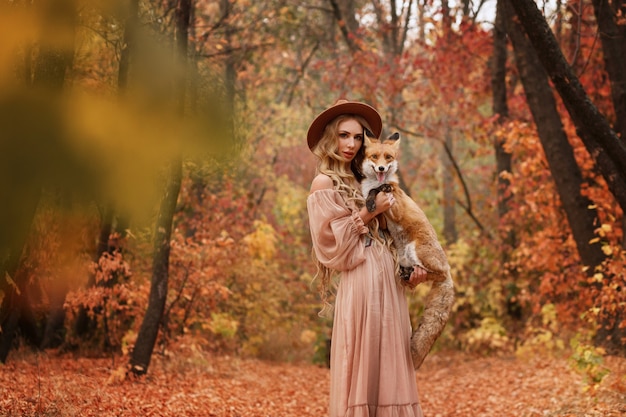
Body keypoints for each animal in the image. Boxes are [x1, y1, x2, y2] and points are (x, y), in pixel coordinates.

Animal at [360, 130, 454, 368]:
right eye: (374, 157)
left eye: (388, 158)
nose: (381, 169)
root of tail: (450, 274)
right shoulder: (384, 221)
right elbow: (373, 200)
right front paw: (369, 203)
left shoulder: (396, 208)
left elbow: (378, 190)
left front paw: (373, 197)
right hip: (405, 257)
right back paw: (405, 274)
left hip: (418, 251)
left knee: (435, 273)